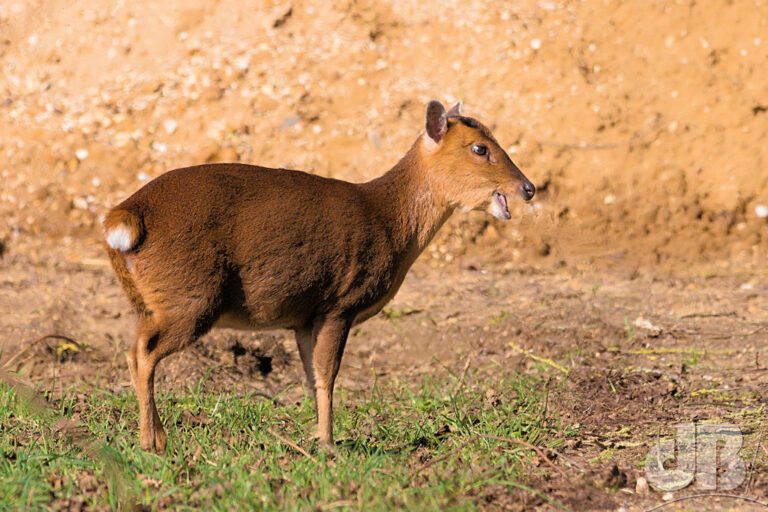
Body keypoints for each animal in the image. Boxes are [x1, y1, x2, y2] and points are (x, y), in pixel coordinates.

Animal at [103, 100, 536, 452]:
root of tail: (124, 216)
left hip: (150, 301)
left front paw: (313, 438)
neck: (390, 221)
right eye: (480, 148)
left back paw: (152, 438)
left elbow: (311, 376)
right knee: (141, 354)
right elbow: (328, 376)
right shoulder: (340, 302)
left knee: (134, 350)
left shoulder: (304, 315)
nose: (528, 188)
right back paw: (153, 442)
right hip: (190, 298)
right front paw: (329, 445)